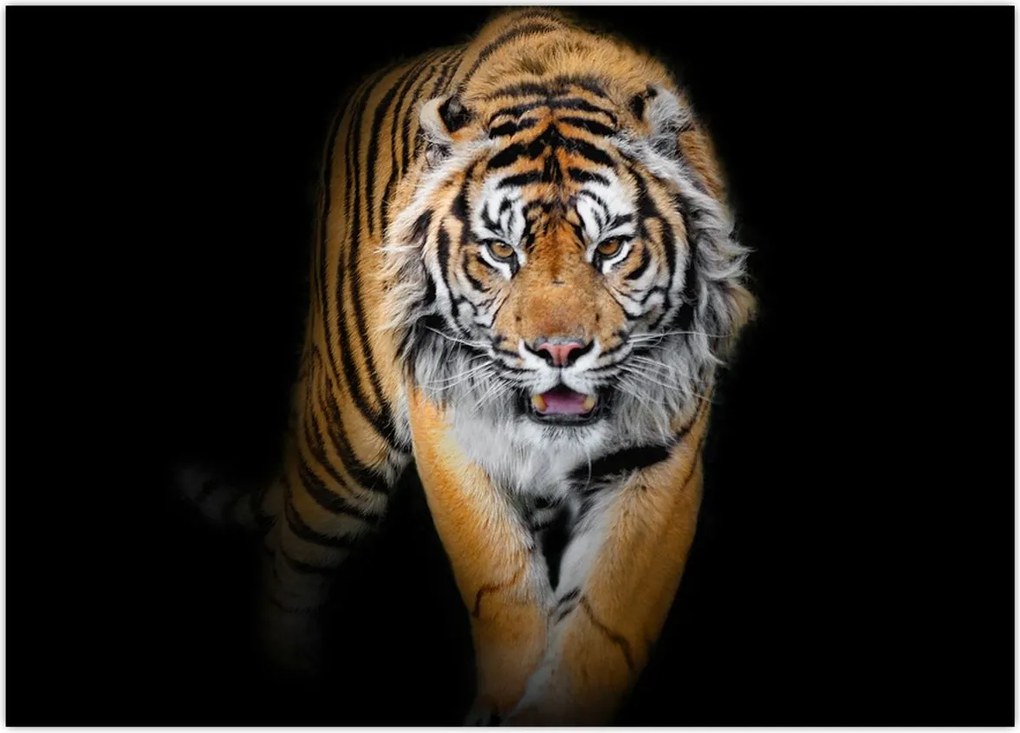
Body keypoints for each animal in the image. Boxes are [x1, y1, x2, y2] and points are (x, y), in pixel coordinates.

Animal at [181, 7, 753, 725]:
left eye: (611, 247)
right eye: (501, 250)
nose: (558, 351)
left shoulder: (659, 459)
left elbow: (604, 623)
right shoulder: (451, 431)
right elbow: (502, 585)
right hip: (346, 438)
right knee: (291, 557)